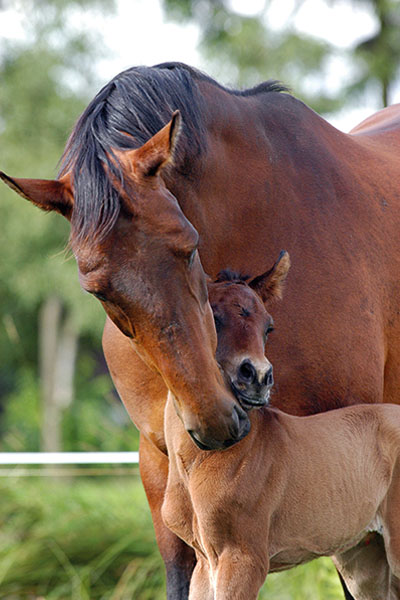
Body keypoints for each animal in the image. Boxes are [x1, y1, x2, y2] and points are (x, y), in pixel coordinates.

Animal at [162, 252, 400, 600]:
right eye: (215, 318)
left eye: (268, 327)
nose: (259, 377)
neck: (197, 462)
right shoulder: (205, 564)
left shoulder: (243, 560)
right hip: (364, 556)